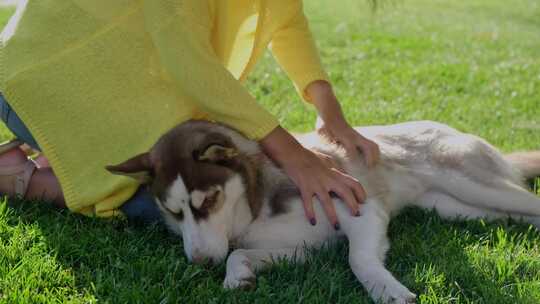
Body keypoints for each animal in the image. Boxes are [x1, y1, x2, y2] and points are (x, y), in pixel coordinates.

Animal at [106, 120, 540, 302]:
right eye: (172, 213)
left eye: (208, 201)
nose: (198, 263)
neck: (254, 209)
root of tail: (447, 125)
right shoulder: (302, 248)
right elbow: (239, 253)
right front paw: (238, 276)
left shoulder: (361, 210)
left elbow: (359, 259)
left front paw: (387, 290)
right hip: (461, 209)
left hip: (473, 183)